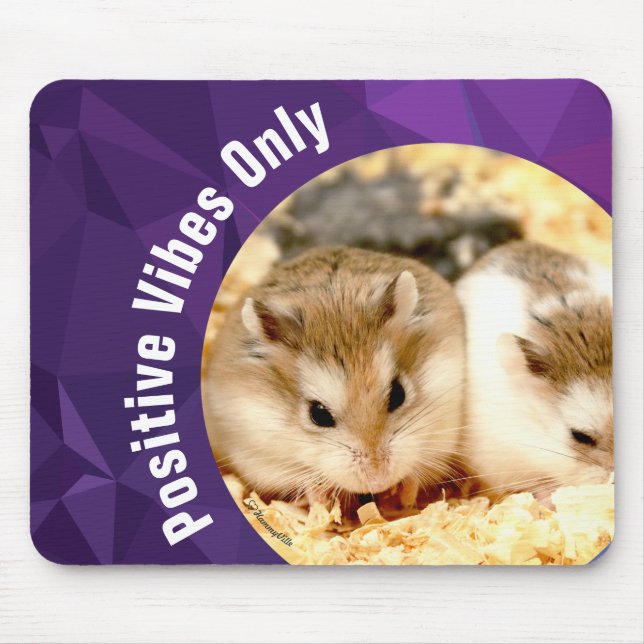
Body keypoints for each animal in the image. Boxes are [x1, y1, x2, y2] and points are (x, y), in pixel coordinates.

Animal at [203, 246, 466, 506]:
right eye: (318, 414)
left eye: (398, 394)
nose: (378, 481)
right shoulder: (263, 460)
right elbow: (303, 481)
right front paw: (322, 501)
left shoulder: (442, 435)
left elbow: (417, 471)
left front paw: (405, 496)